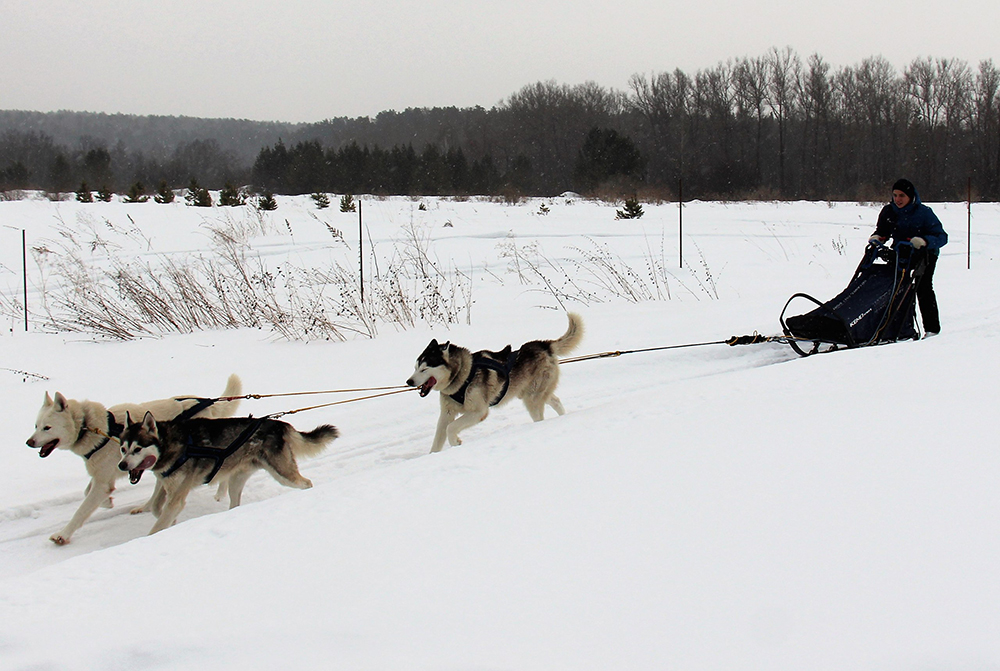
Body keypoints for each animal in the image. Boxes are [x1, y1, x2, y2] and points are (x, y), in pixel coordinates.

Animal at [24, 372, 243, 544]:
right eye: (36, 425)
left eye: (47, 428)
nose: (29, 442)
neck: (96, 429)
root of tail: (204, 401)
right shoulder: (103, 477)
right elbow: (89, 493)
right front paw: (108, 502)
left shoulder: (103, 481)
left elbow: (82, 510)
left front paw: (62, 534)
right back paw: (146, 507)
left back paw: (219, 494)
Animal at [118, 410, 338, 536]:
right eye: (123, 448)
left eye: (137, 449)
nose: (121, 465)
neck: (170, 444)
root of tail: (279, 424)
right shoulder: (167, 484)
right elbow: (157, 507)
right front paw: (169, 522)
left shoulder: (177, 495)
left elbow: (158, 523)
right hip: (236, 481)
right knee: (235, 503)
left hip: (282, 473)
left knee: (306, 483)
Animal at [404, 312, 584, 454]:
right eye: (416, 367)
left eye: (424, 369)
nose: (409, 381)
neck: (461, 376)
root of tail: (544, 345)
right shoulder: (446, 414)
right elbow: (438, 438)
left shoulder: (479, 411)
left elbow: (451, 427)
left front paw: (456, 441)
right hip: (533, 393)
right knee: (556, 401)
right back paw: (562, 416)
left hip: (531, 399)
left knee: (540, 415)